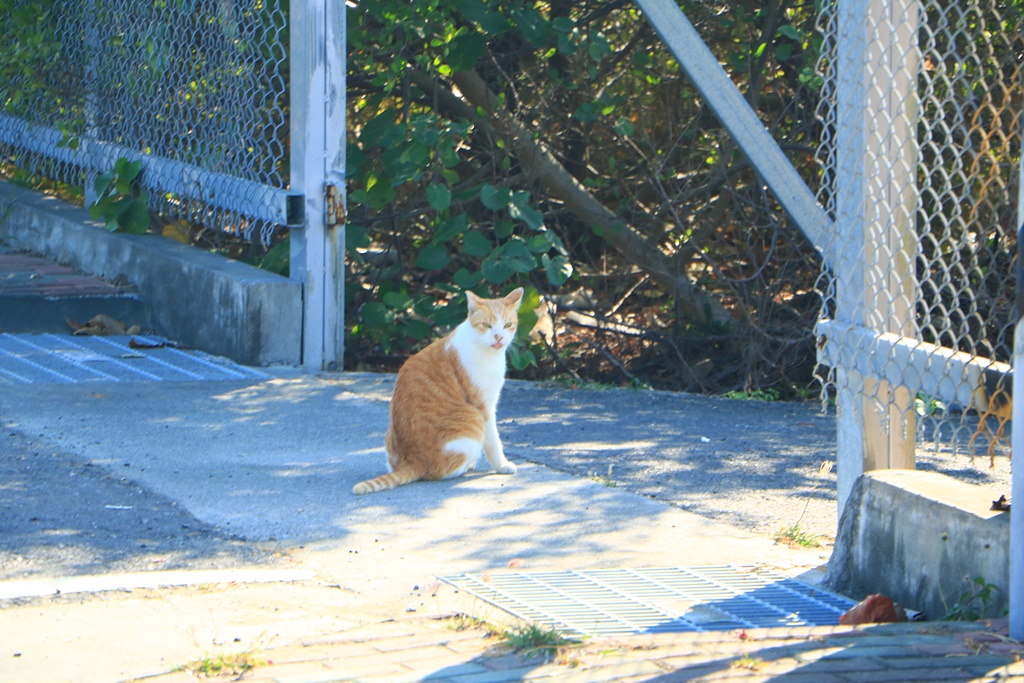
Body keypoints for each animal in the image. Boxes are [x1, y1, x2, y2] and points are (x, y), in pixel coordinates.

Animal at [354, 288, 528, 497]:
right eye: (487, 325)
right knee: (443, 471)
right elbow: (494, 442)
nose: (499, 337)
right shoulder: (484, 407)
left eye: (507, 325)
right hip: (472, 422)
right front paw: (502, 465)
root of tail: (412, 461)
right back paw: (466, 465)